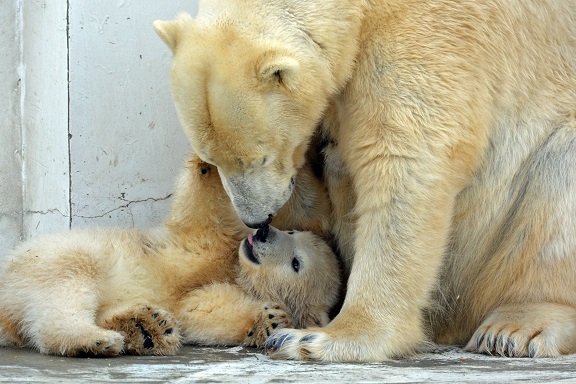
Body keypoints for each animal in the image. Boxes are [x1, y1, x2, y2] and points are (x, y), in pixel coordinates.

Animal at [153, 0, 576, 360]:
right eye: (211, 159)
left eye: (259, 158)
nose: (257, 222)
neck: (363, 10)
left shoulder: (429, 41)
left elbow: (406, 164)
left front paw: (319, 338)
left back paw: (515, 326)